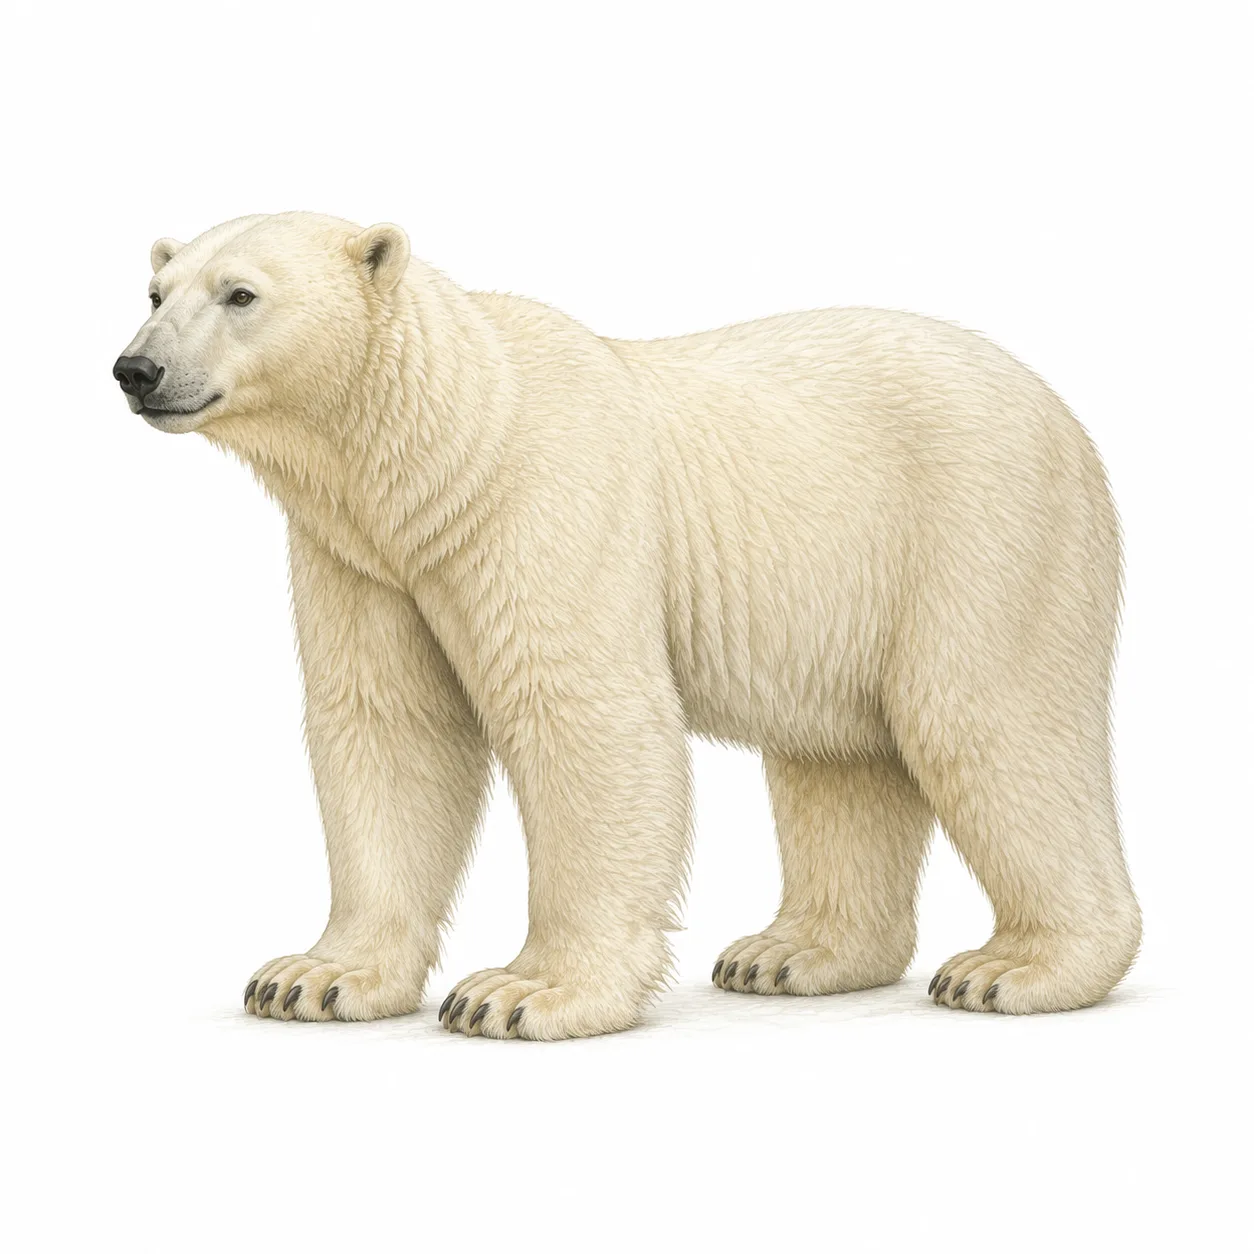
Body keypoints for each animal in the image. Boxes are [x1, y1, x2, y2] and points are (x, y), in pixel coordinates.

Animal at [114, 211, 1141, 1039]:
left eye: (240, 293)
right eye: (155, 291)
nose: (137, 368)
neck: (447, 446)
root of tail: (1058, 408)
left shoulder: (544, 502)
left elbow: (582, 717)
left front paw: (520, 994)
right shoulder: (364, 558)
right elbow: (388, 727)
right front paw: (313, 978)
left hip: (980, 533)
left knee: (988, 723)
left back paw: (1015, 969)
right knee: (837, 758)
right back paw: (787, 953)